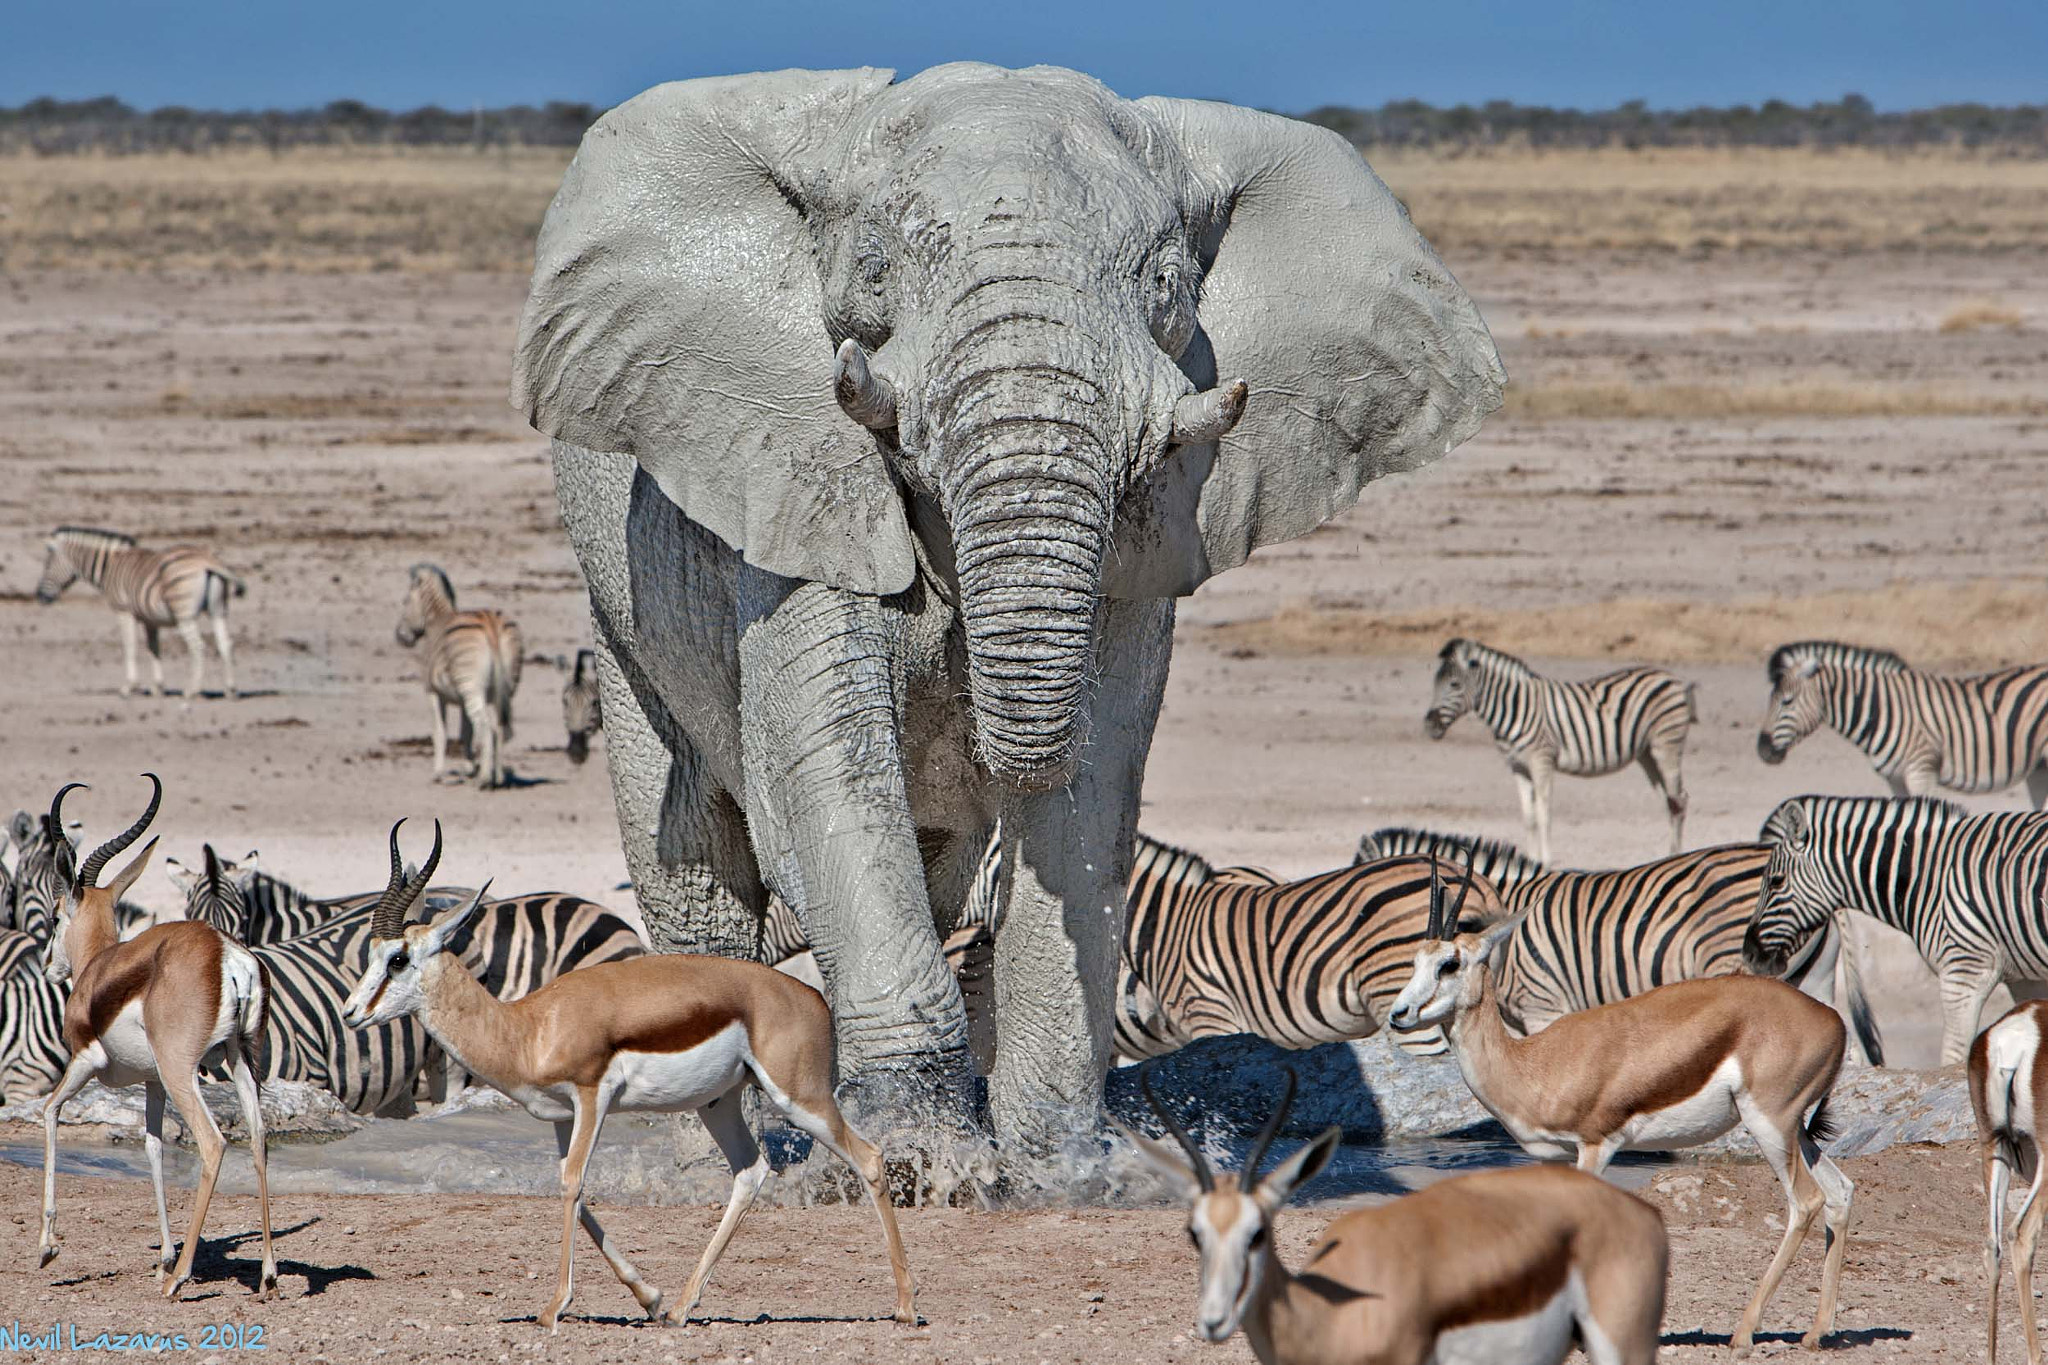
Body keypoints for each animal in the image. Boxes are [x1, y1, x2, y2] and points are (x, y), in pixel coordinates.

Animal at [512, 62, 1504, 1150]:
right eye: (872, 270)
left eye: (1166, 283)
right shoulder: (791, 466)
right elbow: (824, 767)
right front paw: (918, 1161)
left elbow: (1091, 790)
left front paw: (1053, 1164)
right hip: (620, 612)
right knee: (697, 874)